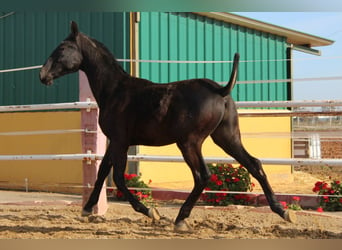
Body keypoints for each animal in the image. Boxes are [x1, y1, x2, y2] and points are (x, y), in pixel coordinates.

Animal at [39, 21, 294, 230]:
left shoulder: (121, 142)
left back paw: (181, 219)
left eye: (63, 49)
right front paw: (87, 209)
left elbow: (118, 178)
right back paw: (282, 211)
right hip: (226, 138)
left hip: (189, 143)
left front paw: (151, 212)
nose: (43, 75)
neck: (115, 90)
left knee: (203, 175)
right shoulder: (116, 141)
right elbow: (102, 171)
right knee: (254, 164)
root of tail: (220, 90)